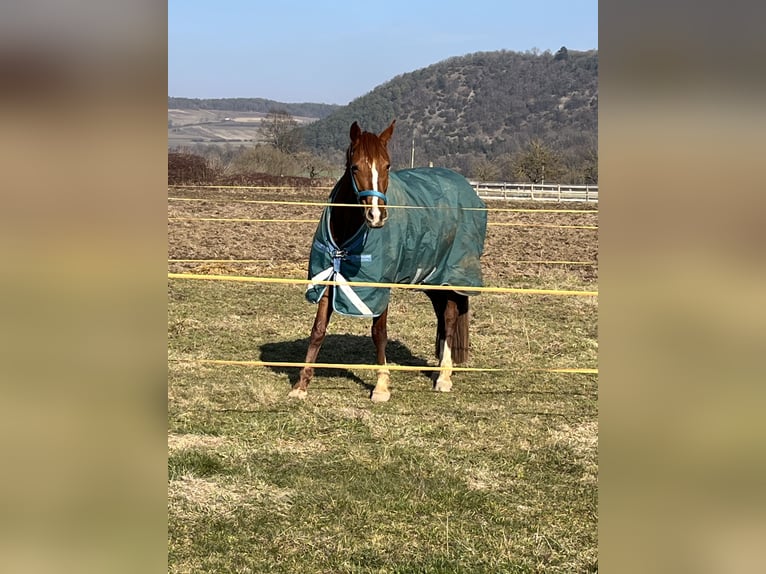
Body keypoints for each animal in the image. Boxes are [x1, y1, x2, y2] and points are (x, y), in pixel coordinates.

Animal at [288, 119, 486, 402]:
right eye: (355, 166)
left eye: (387, 165)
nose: (376, 215)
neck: (347, 232)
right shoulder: (328, 278)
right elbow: (317, 330)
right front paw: (301, 385)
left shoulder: (379, 286)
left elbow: (378, 333)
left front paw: (381, 386)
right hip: (430, 276)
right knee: (442, 315)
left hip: (450, 276)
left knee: (449, 318)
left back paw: (444, 377)